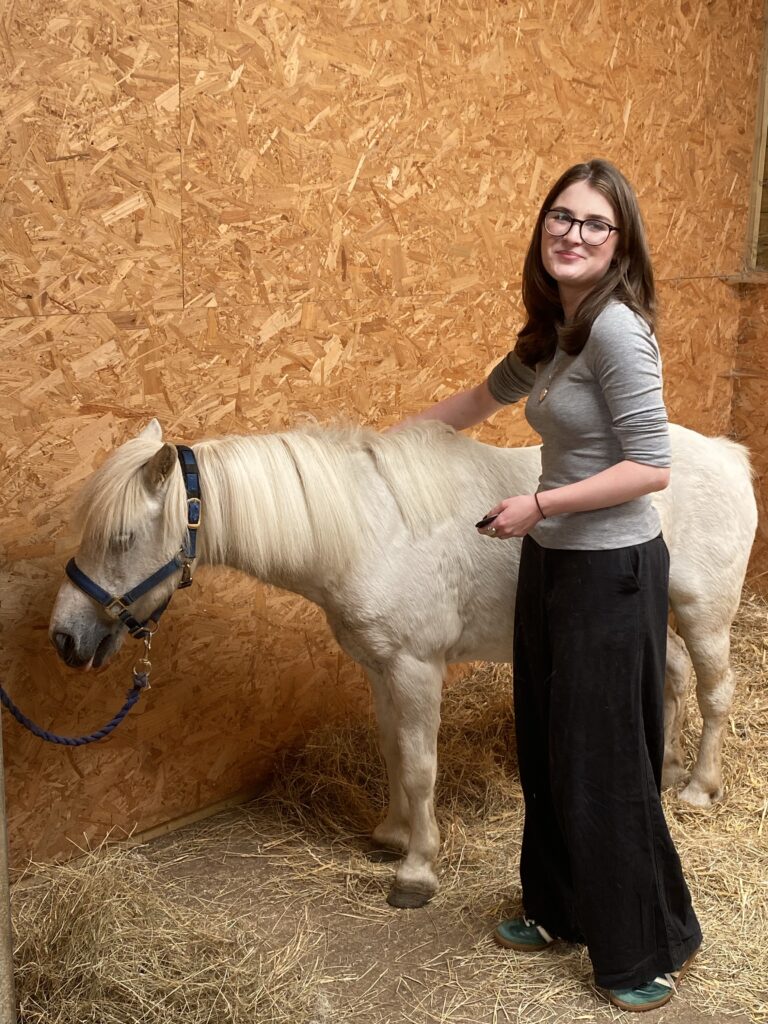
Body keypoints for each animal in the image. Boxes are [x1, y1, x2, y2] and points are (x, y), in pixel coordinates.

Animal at [49, 418, 757, 908]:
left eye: (121, 538)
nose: (65, 638)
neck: (368, 530)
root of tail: (727, 454)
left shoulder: (416, 668)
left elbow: (419, 766)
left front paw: (418, 868)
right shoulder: (379, 666)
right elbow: (392, 750)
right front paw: (391, 833)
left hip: (703, 612)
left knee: (717, 691)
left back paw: (698, 788)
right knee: (674, 677)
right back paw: (663, 771)